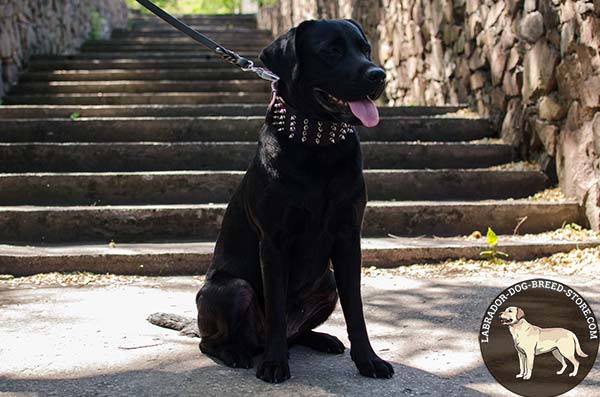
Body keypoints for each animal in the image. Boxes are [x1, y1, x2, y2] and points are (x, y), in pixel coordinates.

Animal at [199, 17, 392, 380]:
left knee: (297, 332)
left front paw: (368, 360)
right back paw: (238, 353)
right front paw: (275, 364)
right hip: (233, 289)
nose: (379, 75)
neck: (318, 143)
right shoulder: (275, 242)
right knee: (212, 341)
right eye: (331, 51)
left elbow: (356, 309)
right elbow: (275, 308)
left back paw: (321, 339)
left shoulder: (348, 237)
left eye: (365, 49)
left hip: (327, 283)